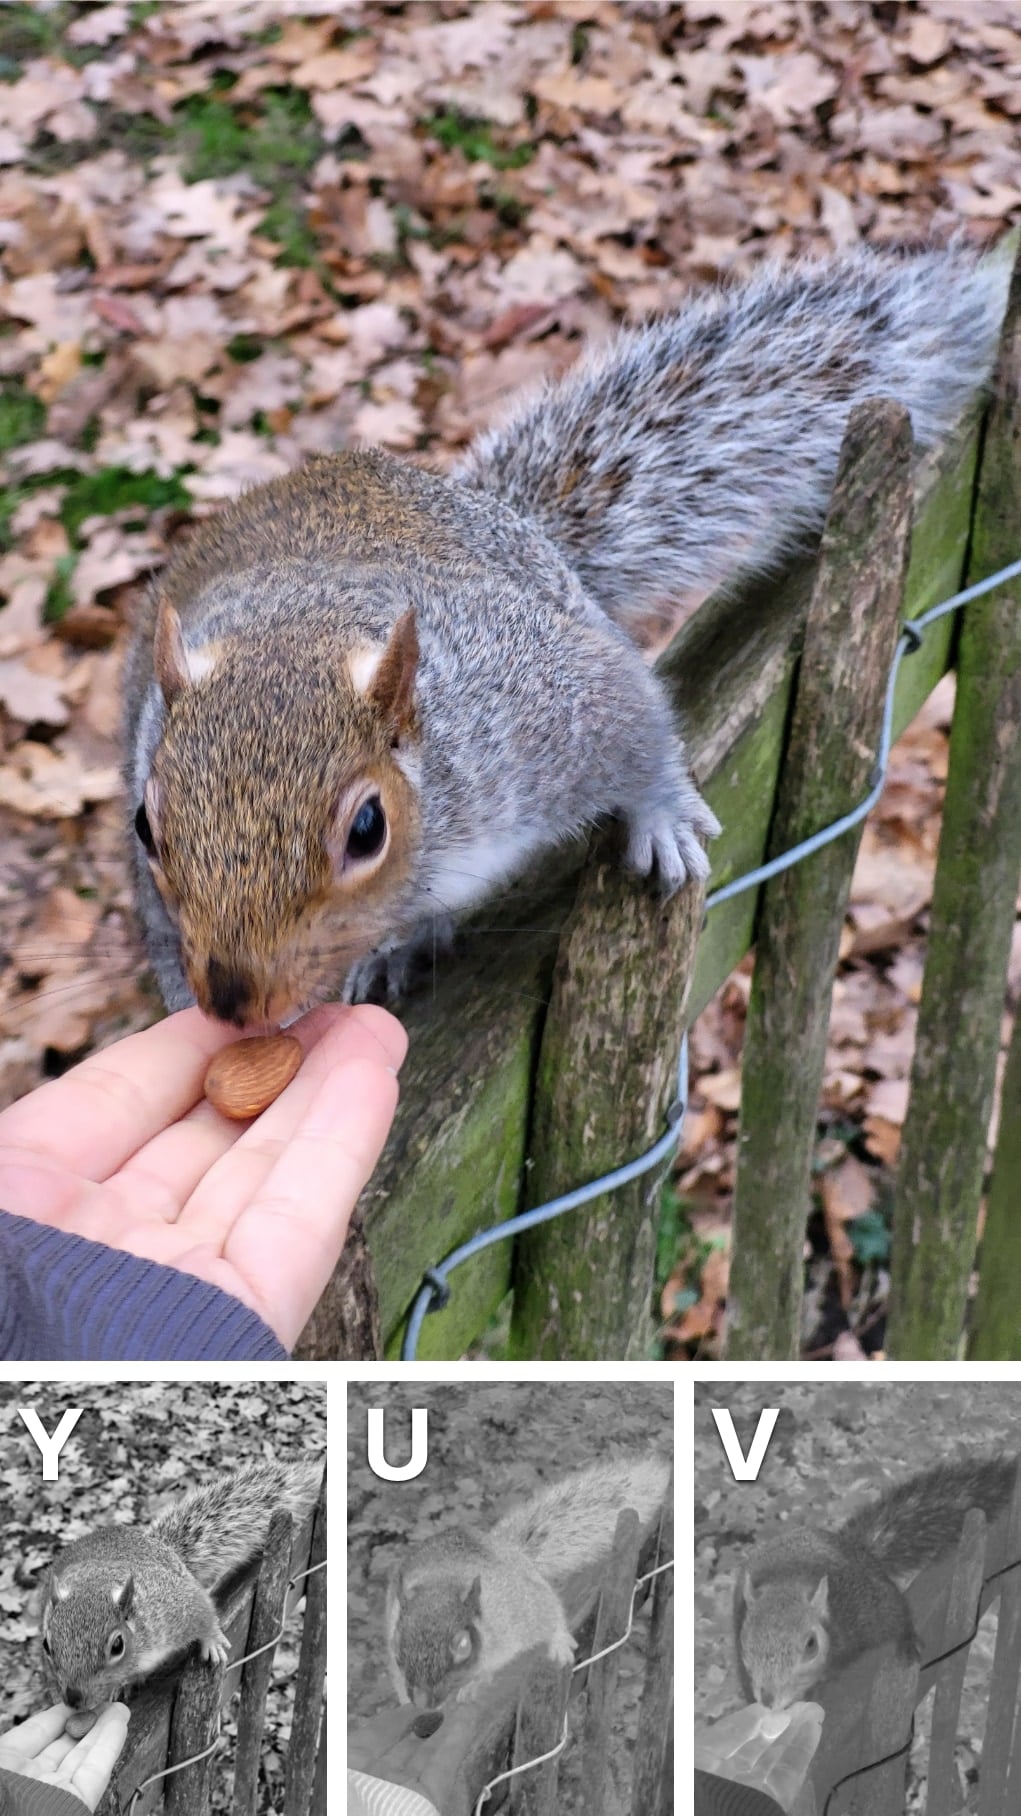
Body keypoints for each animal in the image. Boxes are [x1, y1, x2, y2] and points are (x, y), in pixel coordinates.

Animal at [40, 1456, 322, 1721]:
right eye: (46, 1645)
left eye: (117, 1645)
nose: (74, 1699)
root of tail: (161, 1545)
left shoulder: (174, 1607)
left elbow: (203, 1611)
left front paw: (212, 1641)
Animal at [123, 244, 1010, 1024]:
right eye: (143, 826)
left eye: (367, 829)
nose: (233, 1004)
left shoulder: (537, 707)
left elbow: (633, 719)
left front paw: (660, 817)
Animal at [385, 1452, 670, 1708]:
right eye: (398, 1647)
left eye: (462, 1645)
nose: (423, 1703)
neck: (444, 1582)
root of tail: (508, 1548)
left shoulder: (520, 1606)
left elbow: (548, 1613)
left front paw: (558, 1642)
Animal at [733, 1454, 1018, 1710]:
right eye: (745, 1642)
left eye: (811, 1644)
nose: (768, 1700)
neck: (789, 1577)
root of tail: (857, 1548)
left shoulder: (866, 1604)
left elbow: (897, 1613)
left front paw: (907, 1639)